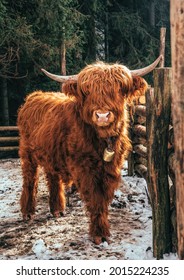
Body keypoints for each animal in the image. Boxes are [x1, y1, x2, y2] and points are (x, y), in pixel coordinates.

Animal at [17, 57, 161, 245]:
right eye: (87, 91)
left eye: (118, 89)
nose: (102, 115)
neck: (102, 141)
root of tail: (34, 96)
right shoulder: (85, 169)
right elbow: (95, 198)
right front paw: (98, 234)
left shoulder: (111, 169)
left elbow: (104, 198)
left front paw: (104, 232)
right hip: (27, 154)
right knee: (30, 180)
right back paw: (27, 212)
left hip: (51, 154)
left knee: (53, 178)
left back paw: (57, 209)